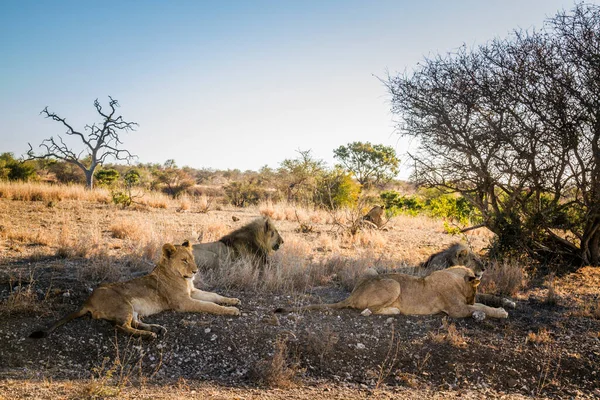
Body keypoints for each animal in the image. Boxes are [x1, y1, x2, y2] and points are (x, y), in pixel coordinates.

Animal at [27, 241, 239, 340]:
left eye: (192, 259)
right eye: (184, 260)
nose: (196, 271)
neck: (182, 278)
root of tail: (87, 300)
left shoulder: (192, 293)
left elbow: (214, 296)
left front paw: (233, 301)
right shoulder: (183, 302)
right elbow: (210, 305)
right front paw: (231, 310)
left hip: (133, 309)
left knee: (134, 322)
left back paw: (157, 329)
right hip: (123, 305)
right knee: (121, 327)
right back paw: (149, 336)